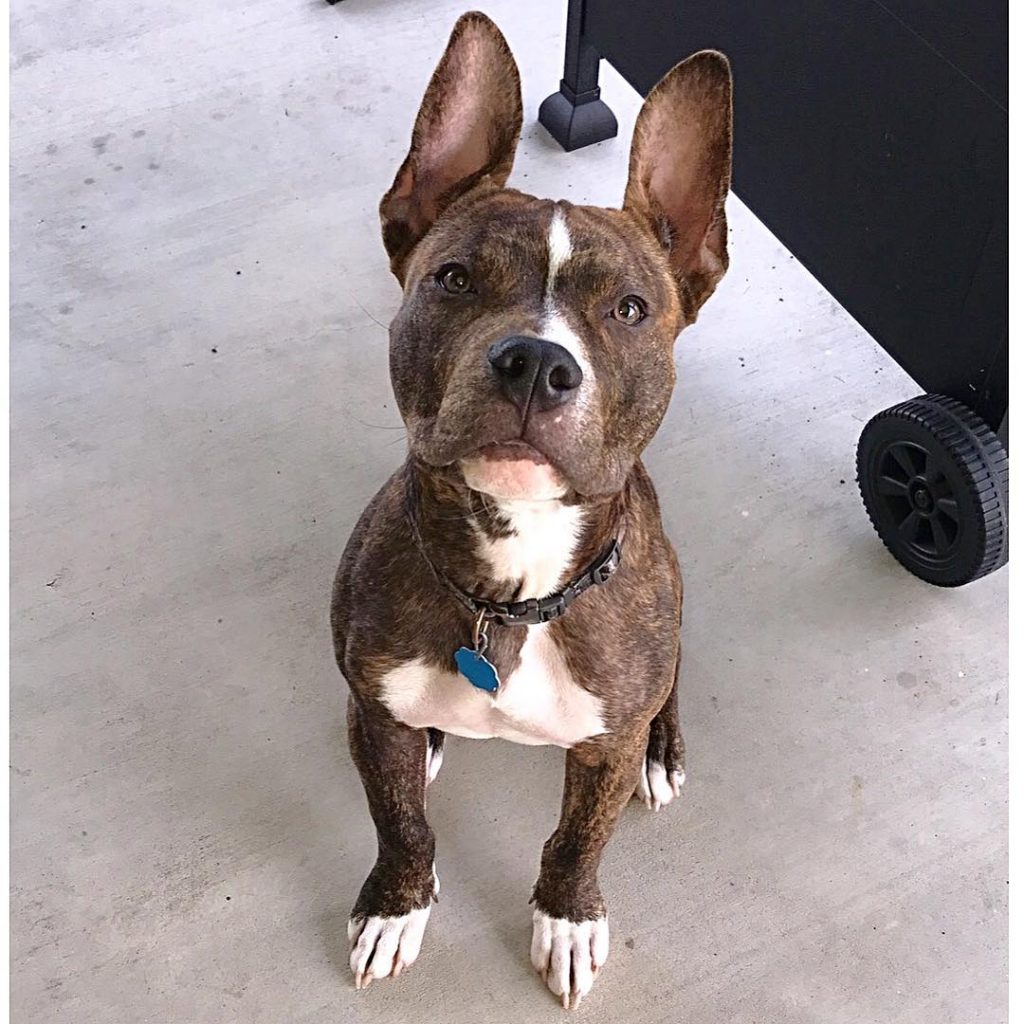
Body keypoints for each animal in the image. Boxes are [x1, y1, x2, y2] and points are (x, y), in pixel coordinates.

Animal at [331, 12, 733, 1011]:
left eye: (629, 309)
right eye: (453, 279)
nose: (536, 362)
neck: (511, 594)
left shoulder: (601, 748)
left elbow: (577, 840)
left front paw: (568, 920)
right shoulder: (372, 714)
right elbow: (401, 822)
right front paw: (397, 905)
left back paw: (664, 751)